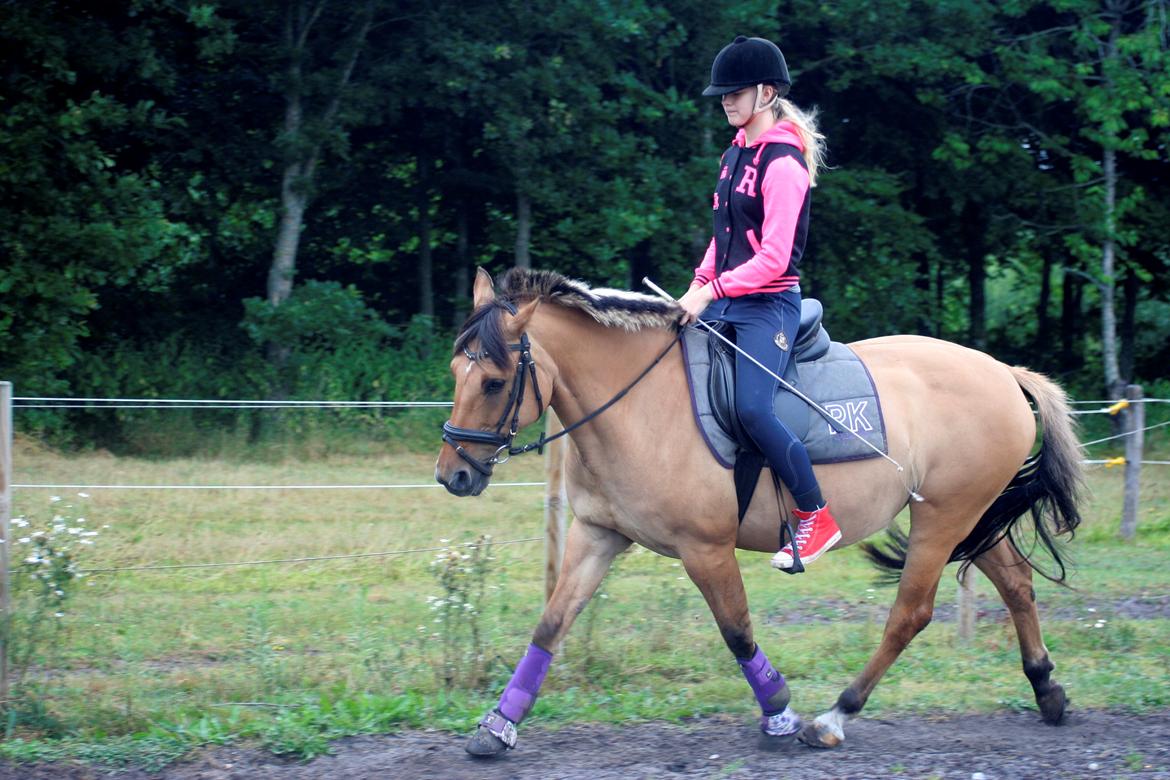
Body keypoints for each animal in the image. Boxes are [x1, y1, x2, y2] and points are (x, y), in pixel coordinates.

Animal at [435, 267, 1082, 755]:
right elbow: (550, 625)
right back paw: (1046, 688)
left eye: (493, 382)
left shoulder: (705, 548)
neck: (638, 404)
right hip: (966, 516)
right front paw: (498, 726)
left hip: (942, 520)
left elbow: (737, 631)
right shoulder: (597, 534)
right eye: (455, 371)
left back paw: (835, 716)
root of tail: (1002, 371)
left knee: (911, 614)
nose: (452, 475)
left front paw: (780, 713)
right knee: (1017, 584)